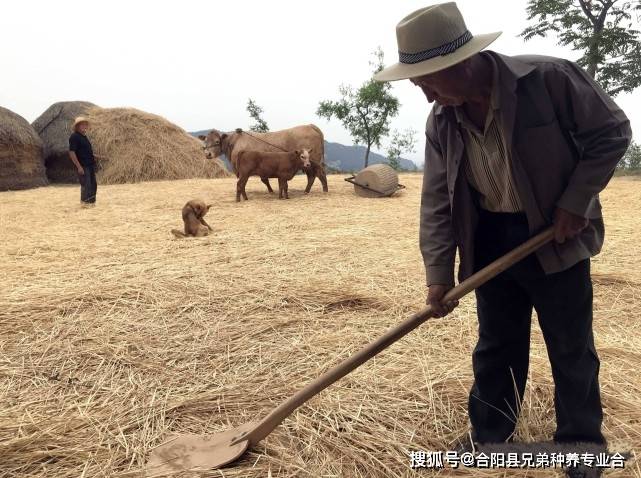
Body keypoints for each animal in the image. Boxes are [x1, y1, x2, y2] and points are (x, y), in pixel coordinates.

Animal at [200, 126, 328, 195]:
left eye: (217, 141)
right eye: (205, 141)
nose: (207, 154)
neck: (234, 143)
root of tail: (310, 125)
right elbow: (264, 180)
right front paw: (271, 190)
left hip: (312, 161)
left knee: (318, 174)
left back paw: (324, 190)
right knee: (313, 176)